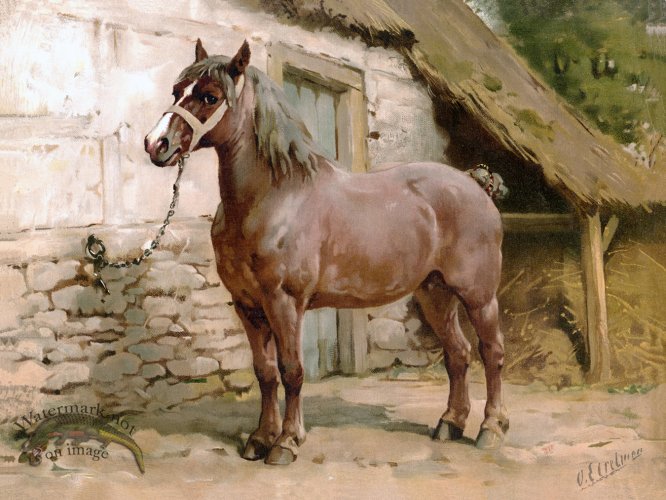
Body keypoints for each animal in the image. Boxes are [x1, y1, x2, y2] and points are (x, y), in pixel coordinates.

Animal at [144, 39, 508, 465]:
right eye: (176, 92)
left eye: (210, 96)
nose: (156, 144)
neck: (272, 198)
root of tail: (474, 185)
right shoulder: (248, 305)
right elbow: (265, 372)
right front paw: (260, 438)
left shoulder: (284, 302)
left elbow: (291, 370)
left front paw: (286, 442)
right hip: (435, 294)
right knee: (458, 354)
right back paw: (450, 423)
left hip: (478, 296)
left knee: (491, 352)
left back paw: (491, 429)